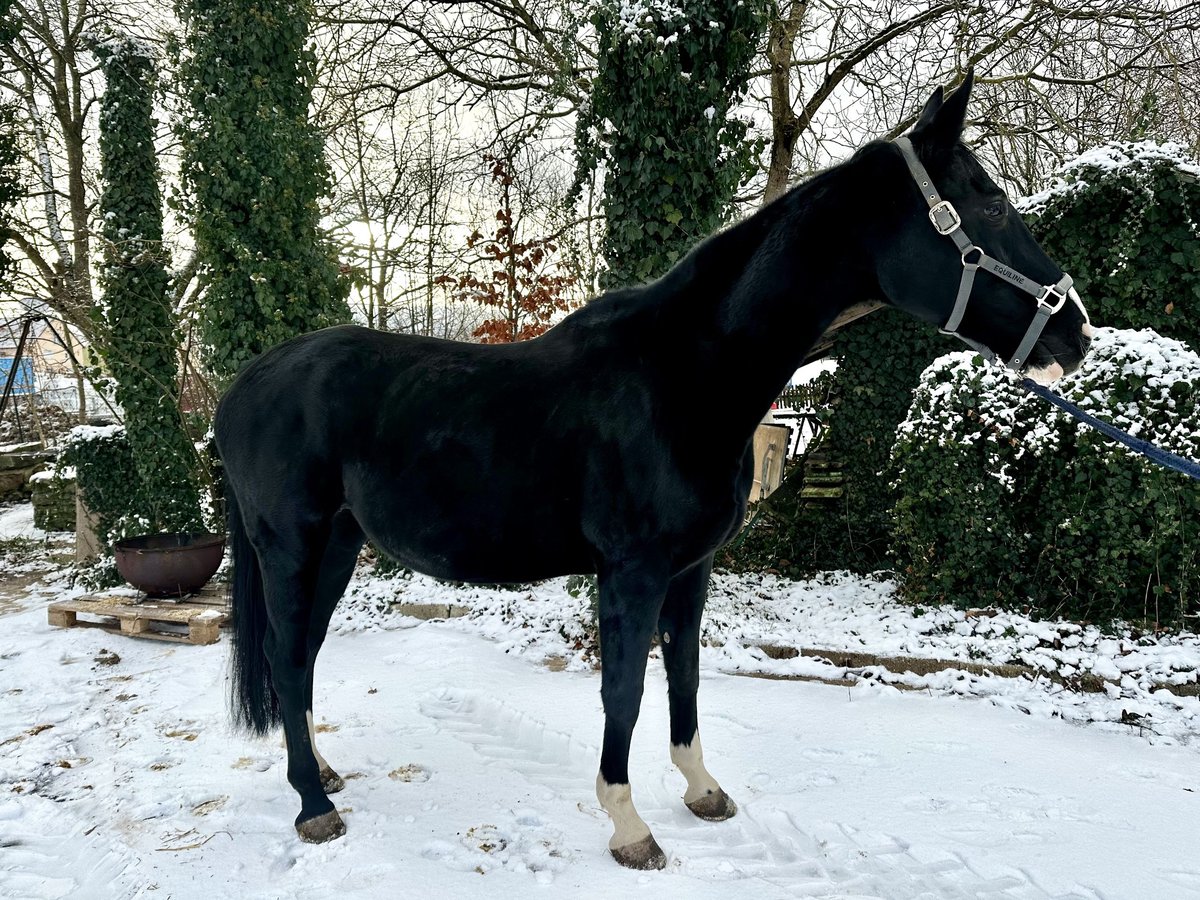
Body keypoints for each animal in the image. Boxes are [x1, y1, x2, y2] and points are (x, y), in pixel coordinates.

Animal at [213, 77, 1089, 873]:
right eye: (991, 206)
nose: (1075, 334)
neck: (683, 377)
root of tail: (241, 387)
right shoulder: (630, 571)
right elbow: (625, 691)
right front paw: (630, 828)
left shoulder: (691, 569)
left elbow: (686, 679)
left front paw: (703, 793)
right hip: (291, 547)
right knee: (287, 660)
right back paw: (314, 807)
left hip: (337, 547)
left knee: (300, 657)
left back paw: (321, 775)